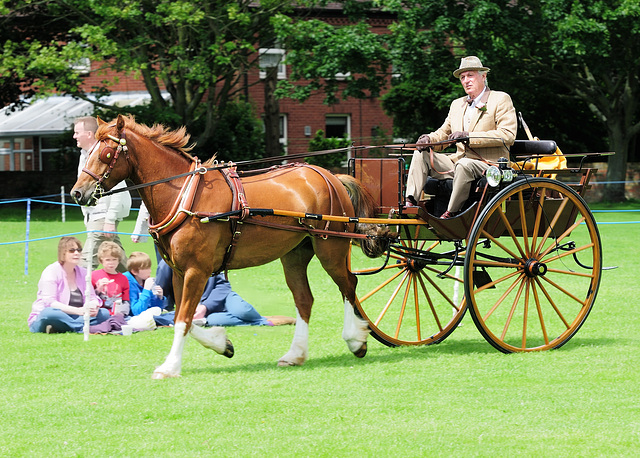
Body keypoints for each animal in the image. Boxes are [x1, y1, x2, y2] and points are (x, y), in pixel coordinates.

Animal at [72, 115, 388, 380]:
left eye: (105, 153)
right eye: (89, 150)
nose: (77, 192)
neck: (183, 195)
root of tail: (331, 176)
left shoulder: (196, 271)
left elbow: (183, 319)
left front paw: (170, 366)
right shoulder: (179, 272)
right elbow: (182, 317)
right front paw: (222, 344)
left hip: (330, 248)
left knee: (348, 286)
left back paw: (356, 339)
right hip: (294, 254)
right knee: (304, 300)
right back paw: (295, 354)